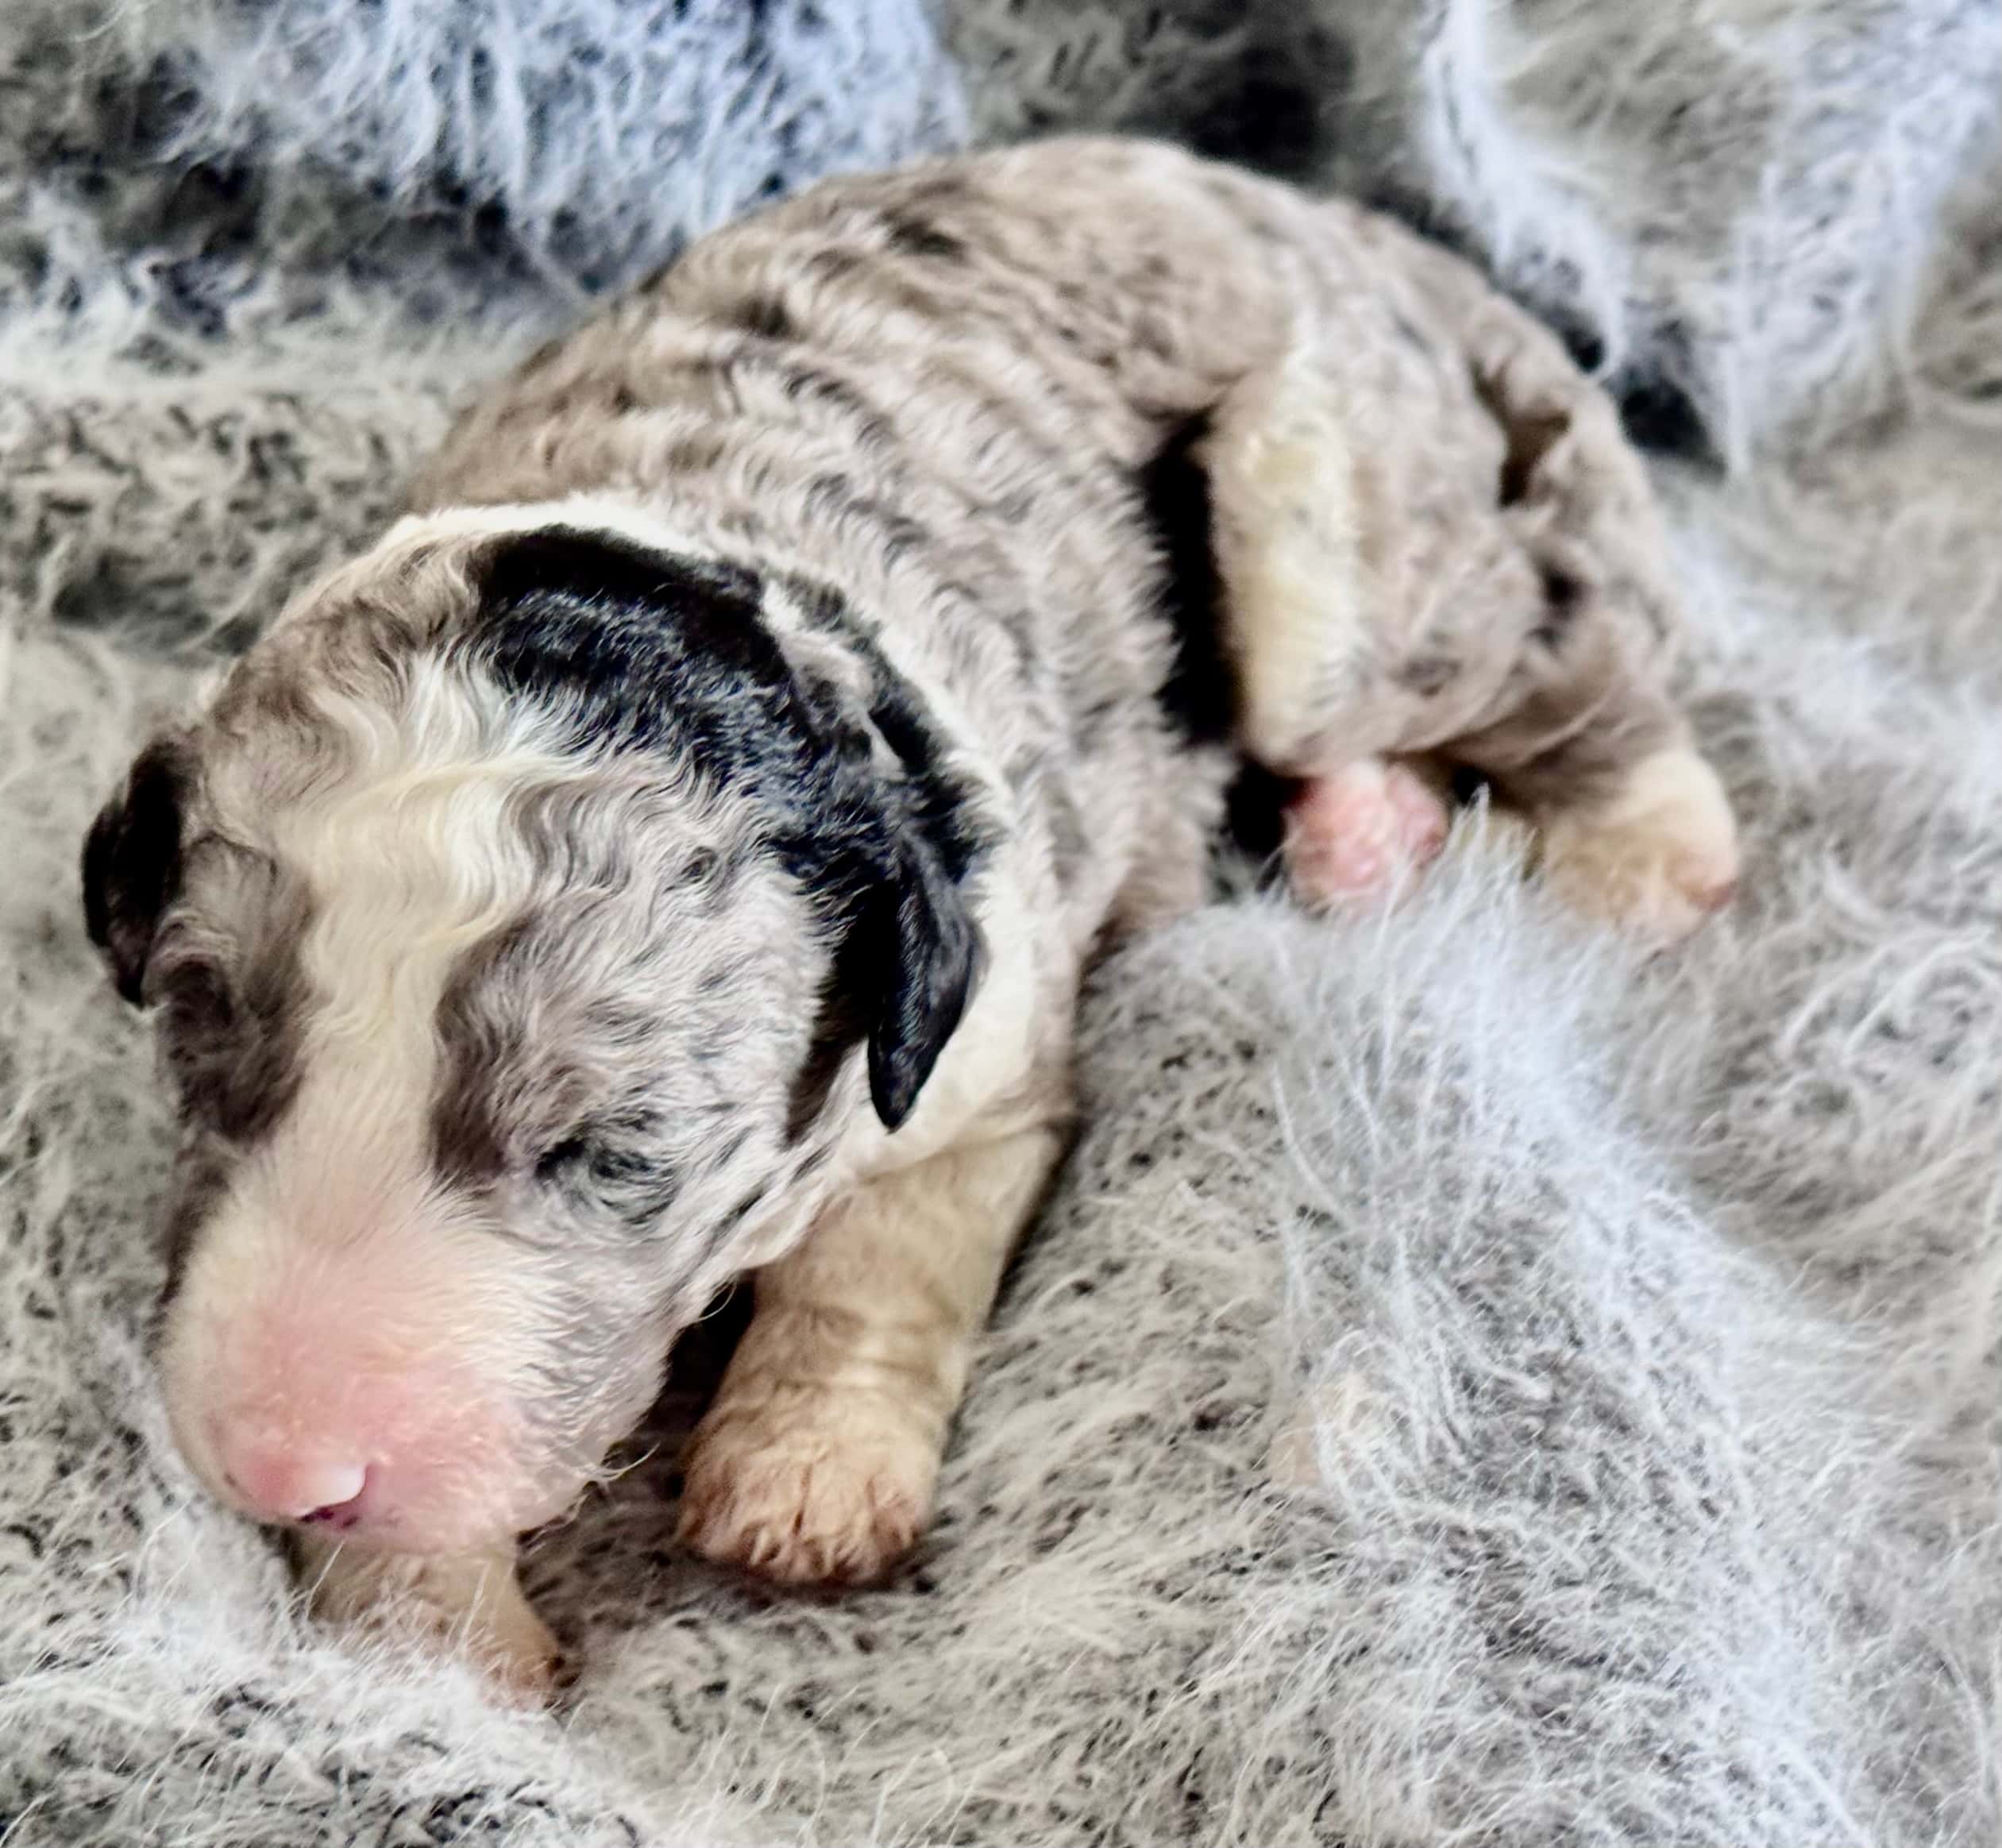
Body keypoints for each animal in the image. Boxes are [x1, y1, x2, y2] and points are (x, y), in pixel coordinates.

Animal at [78, 137, 1738, 1706]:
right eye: (205, 1061)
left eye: (614, 1152)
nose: (284, 1465)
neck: (708, 546)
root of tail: (1337, 226)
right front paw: (435, 1628)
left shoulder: (977, 1064)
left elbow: (881, 1255)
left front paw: (804, 1477)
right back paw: (1365, 836)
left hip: (1331, 542)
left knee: (1549, 640)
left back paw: (1646, 841)